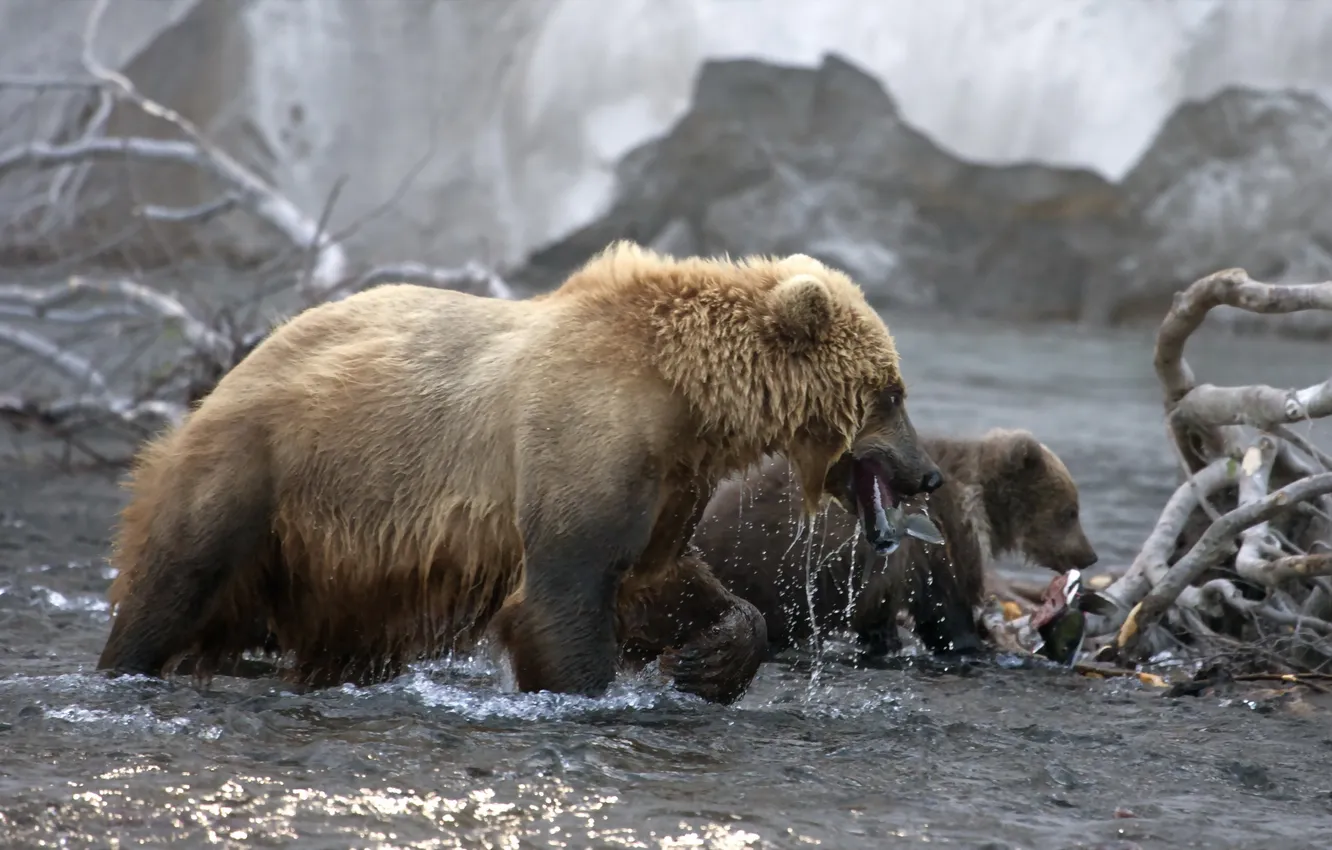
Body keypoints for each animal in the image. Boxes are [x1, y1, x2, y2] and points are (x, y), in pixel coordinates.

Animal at [96, 241, 948, 703]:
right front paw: (588, 687)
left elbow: (659, 577)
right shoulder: (582, 434)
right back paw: (127, 664)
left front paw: (715, 655)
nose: (928, 473)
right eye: (892, 391)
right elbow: (564, 593)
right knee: (176, 580)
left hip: (339, 562)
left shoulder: (667, 477)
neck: (687, 399)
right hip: (259, 474)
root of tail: (227, 377)